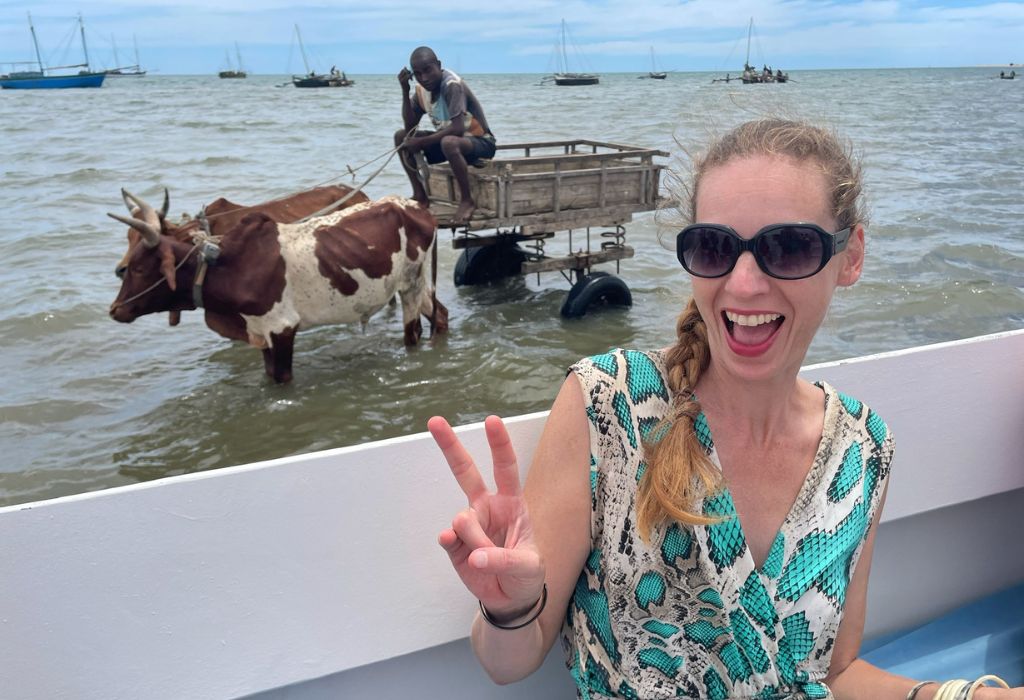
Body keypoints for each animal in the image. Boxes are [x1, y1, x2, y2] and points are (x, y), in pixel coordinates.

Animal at [110, 191, 450, 382]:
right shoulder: (261, 334)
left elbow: (282, 379)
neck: (226, 264)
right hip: (414, 285)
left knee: (413, 334)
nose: (115, 310)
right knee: (441, 316)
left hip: (411, 286)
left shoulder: (282, 328)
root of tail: (418, 208)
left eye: (139, 268)